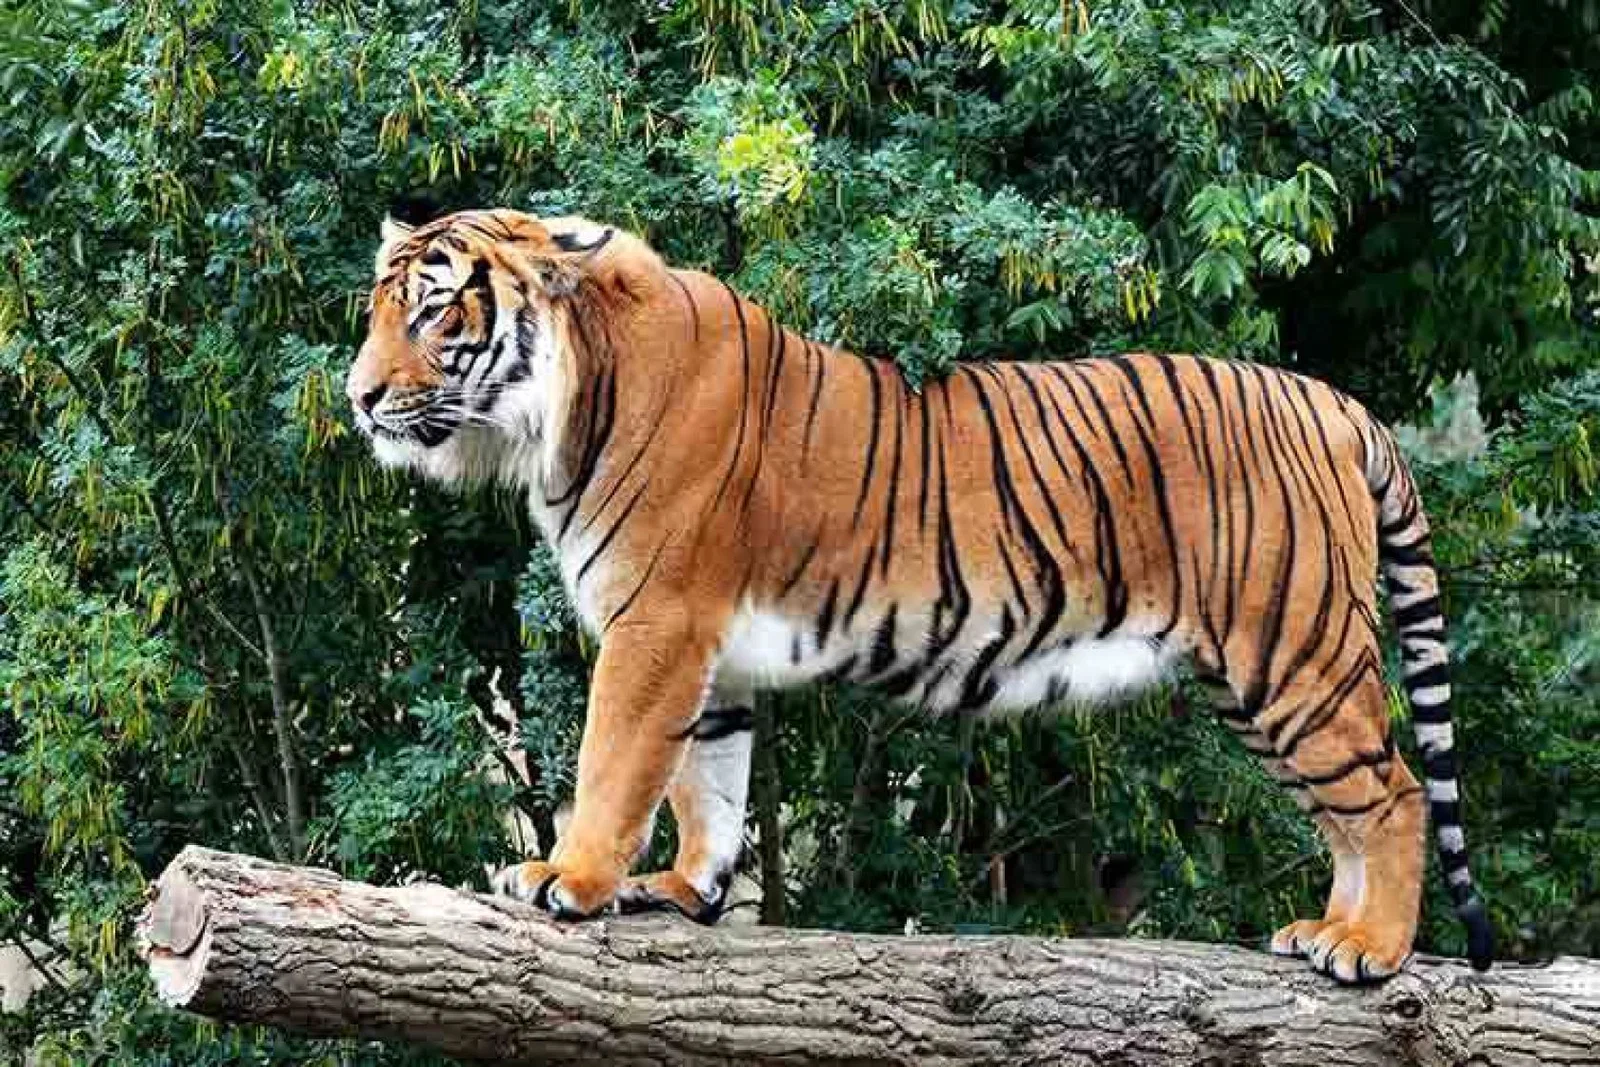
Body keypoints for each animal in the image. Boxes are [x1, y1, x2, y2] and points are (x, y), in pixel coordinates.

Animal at [345, 207, 1494, 984]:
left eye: (436, 310)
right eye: (375, 312)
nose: (357, 398)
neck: (555, 410)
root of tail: (1338, 403)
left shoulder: (655, 622)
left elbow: (616, 758)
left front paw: (571, 878)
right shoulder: (705, 645)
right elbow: (709, 780)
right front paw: (684, 889)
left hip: (1290, 653)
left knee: (1392, 793)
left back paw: (1370, 949)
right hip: (1261, 677)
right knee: (1348, 811)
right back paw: (1324, 932)